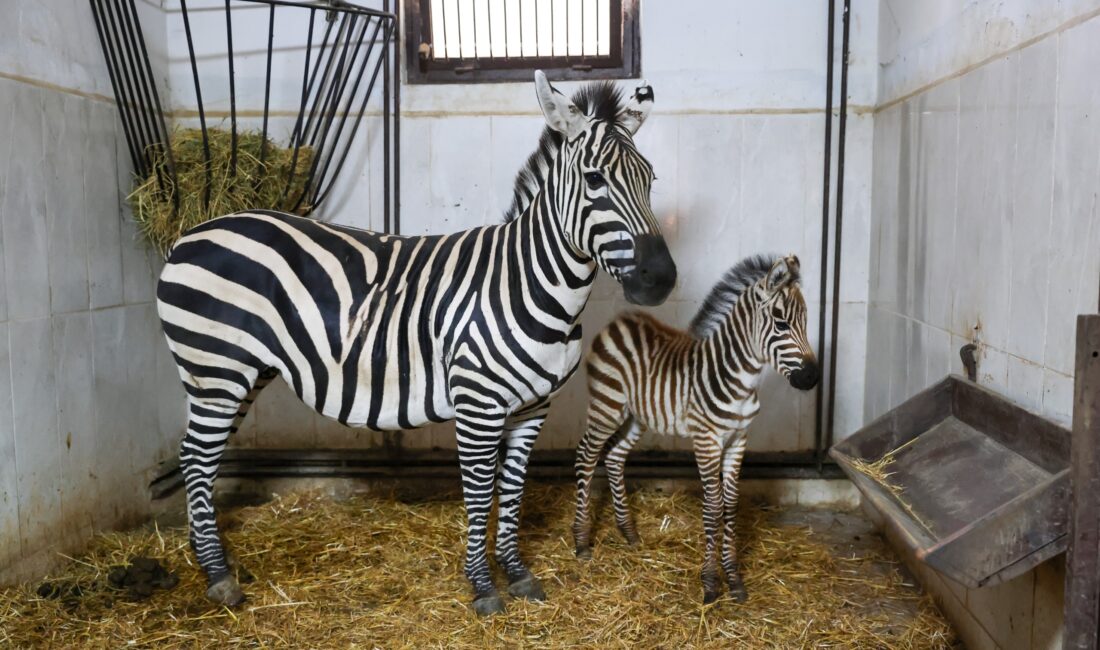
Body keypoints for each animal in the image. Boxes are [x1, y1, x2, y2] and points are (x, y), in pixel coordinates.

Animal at [156, 71, 676, 616]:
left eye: (650, 180)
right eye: (595, 180)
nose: (660, 279)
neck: (531, 281)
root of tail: (192, 231)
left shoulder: (534, 407)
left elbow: (513, 488)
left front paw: (517, 573)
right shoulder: (478, 404)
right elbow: (480, 491)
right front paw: (483, 586)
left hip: (240, 373)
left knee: (199, 456)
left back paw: (205, 555)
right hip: (217, 369)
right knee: (197, 458)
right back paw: (218, 576)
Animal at [572, 254, 818, 604]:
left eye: (806, 322)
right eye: (781, 323)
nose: (811, 378)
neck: (739, 379)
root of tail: (619, 320)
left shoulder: (738, 440)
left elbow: (731, 505)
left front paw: (734, 579)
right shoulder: (707, 440)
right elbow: (713, 507)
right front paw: (711, 582)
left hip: (637, 416)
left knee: (615, 457)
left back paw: (628, 532)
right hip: (607, 406)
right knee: (586, 456)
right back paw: (581, 541)